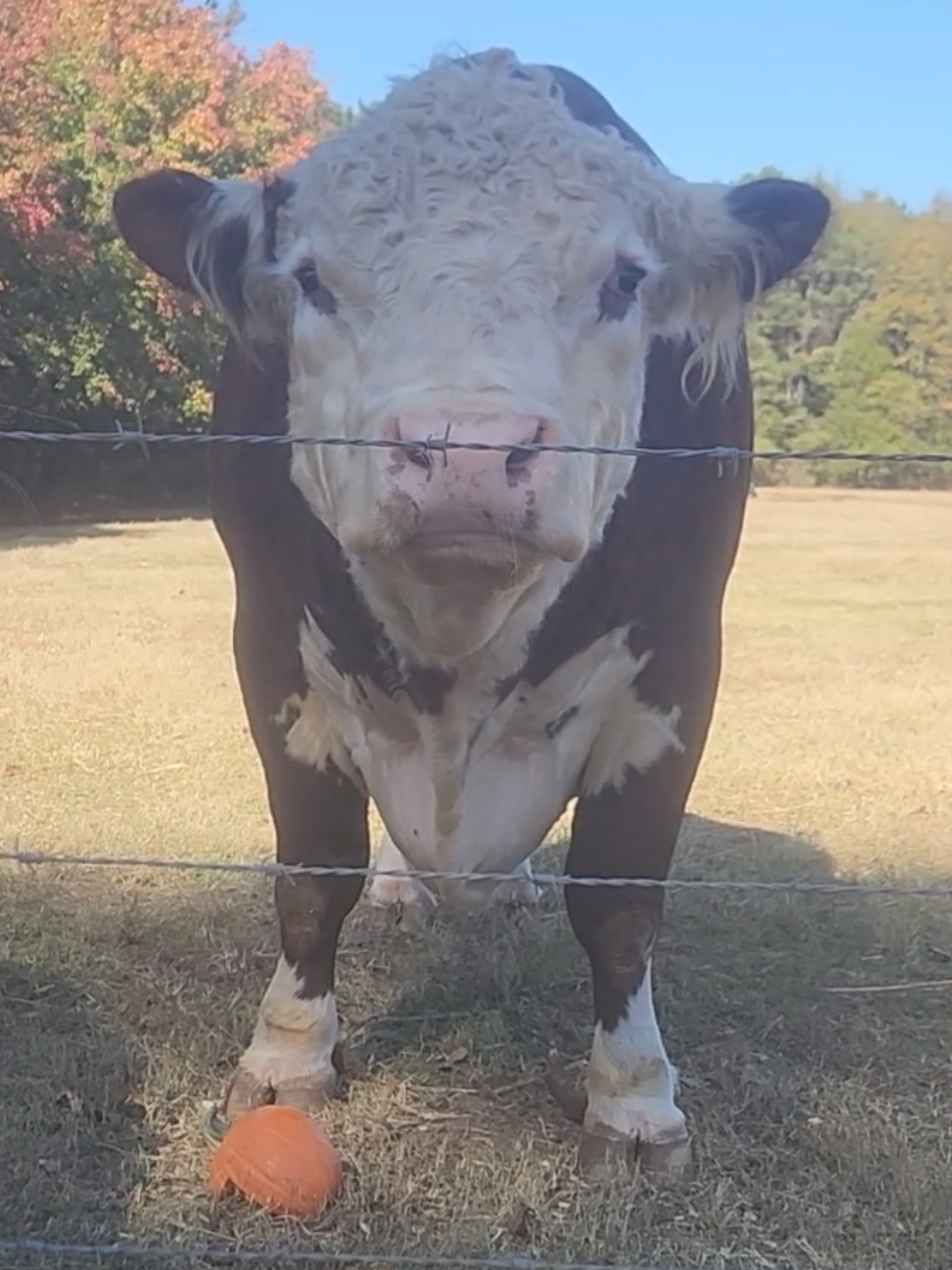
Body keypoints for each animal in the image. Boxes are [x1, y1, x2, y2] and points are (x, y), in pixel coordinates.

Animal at [112, 49, 830, 1177]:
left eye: (625, 279)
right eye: (310, 279)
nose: (466, 452)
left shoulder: (677, 659)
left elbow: (620, 899)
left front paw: (634, 1099)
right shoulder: (269, 642)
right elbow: (313, 870)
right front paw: (289, 1056)